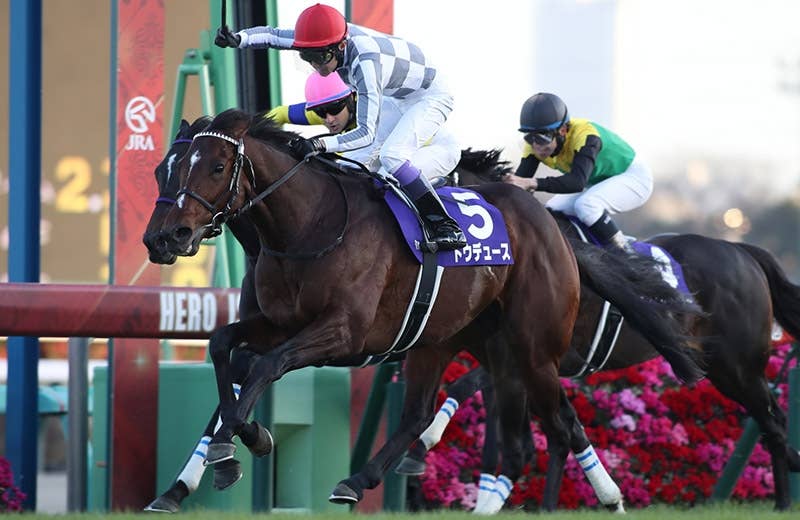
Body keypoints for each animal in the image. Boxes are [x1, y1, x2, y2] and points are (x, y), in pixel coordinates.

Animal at [153, 109, 702, 510]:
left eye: (217, 167)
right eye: (163, 169)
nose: (164, 237)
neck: (308, 228)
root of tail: (552, 227)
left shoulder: (344, 334)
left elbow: (265, 366)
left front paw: (239, 443)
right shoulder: (279, 322)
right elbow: (225, 347)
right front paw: (215, 461)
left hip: (534, 349)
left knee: (561, 428)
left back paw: (588, 499)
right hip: (457, 343)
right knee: (432, 416)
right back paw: (358, 479)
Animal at [406, 152, 800, 511]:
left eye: (440, 181)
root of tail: (741, 250)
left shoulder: (533, 355)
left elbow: (473, 391)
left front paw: (426, 441)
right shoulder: (513, 358)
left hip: (737, 368)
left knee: (773, 423)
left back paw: (783, 499)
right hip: (728, 370)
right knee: (772, 422)